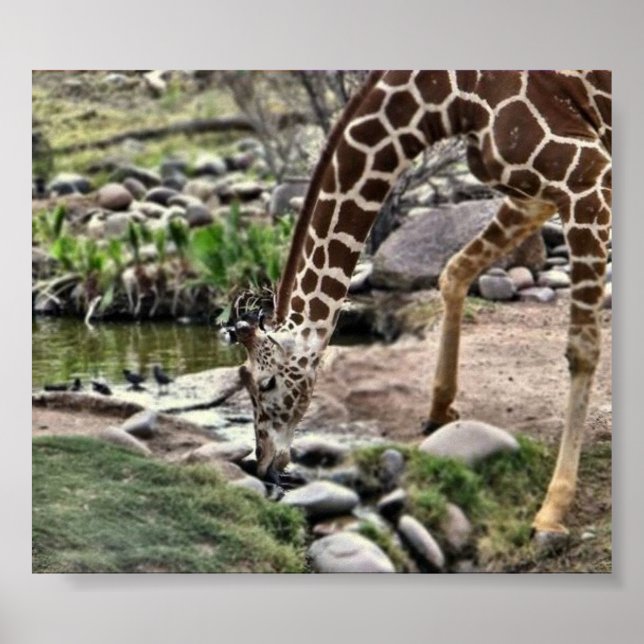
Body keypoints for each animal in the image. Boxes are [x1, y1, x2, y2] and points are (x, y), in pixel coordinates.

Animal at [227, 70, 611, 540]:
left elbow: (583, 347)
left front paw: (552, 512)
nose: (263, 464)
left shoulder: (588, 179)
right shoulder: (533, 195)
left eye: (264, 383)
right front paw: (439, 411)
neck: (448, 98)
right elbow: (454, 271)